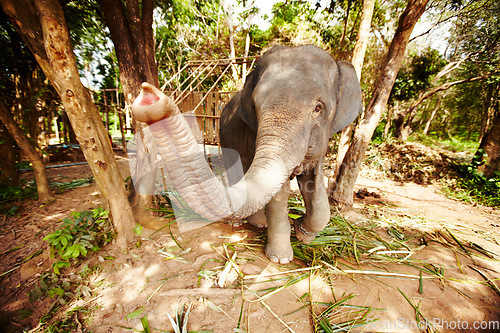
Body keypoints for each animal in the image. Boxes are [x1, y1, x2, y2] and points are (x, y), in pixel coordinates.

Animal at [131, 44, 362, 264]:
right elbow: (278, 192)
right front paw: (280, 258)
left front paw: (303, 233)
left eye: (318, 108)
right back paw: (249, 223)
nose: (148, 95)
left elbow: (315, 184)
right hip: (225, 136)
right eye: (254, 105)